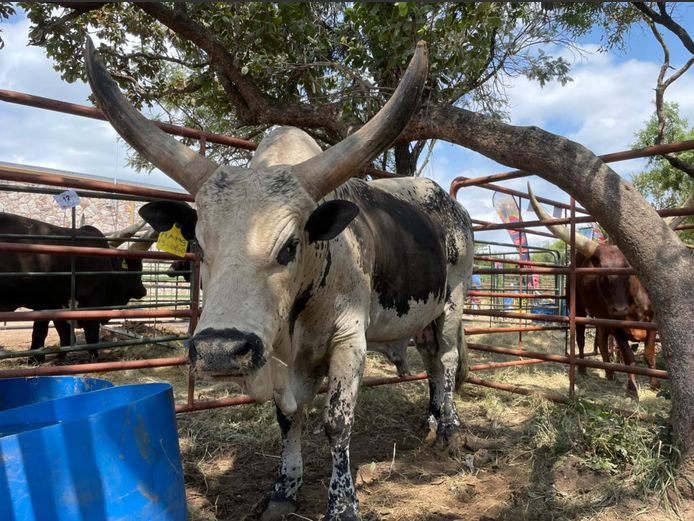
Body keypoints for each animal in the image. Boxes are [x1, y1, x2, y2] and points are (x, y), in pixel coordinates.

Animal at [0, 211, 150, 362]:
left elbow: (60, 333)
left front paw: (56, 358)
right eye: (137, 266)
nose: (143, 290)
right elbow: (89, 335)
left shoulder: (53, 304)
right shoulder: (92, 302)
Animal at [85, 38, 474, 516]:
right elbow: (288, 418)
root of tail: (452, 205)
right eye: (199, 245)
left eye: (289, 246)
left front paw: (342, 505)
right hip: (421, 316)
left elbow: (336, 422)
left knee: (448, 357)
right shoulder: (283, 358)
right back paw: (432, 418)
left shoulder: (349, 339)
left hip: (455, 295)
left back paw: (451, 428)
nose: (219, 352)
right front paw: (284, 488)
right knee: (432, 360)